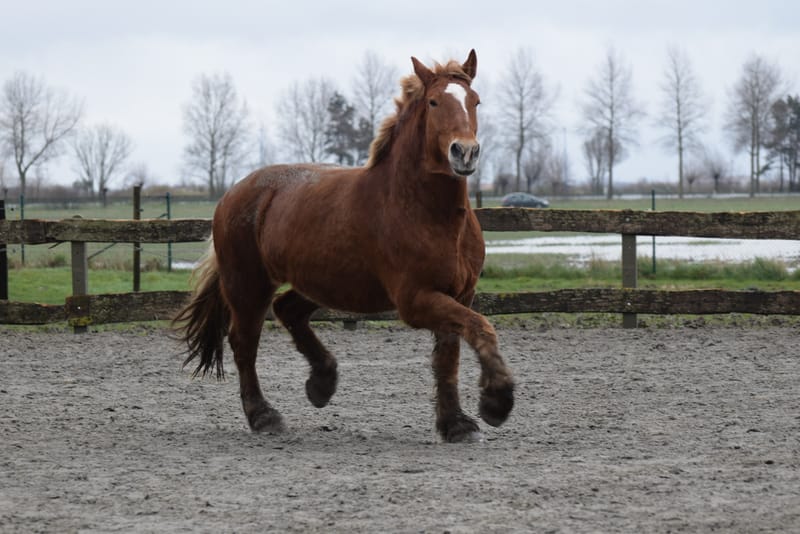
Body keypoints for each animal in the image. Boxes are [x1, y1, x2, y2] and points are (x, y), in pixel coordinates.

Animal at [174, 50, 514, 443]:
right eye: (433, 102)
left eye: (475, 101)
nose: (465, 153)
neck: (425, 211)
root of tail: (234, 192)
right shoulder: (416, 299)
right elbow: (481, 328)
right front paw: (496, 402)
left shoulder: (459, 294)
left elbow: (449, 355)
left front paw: (456, 423)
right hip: (248, 285)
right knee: (244, 342)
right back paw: (263, 416)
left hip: (325, 282)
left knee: (287, 309)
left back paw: (322, 382)